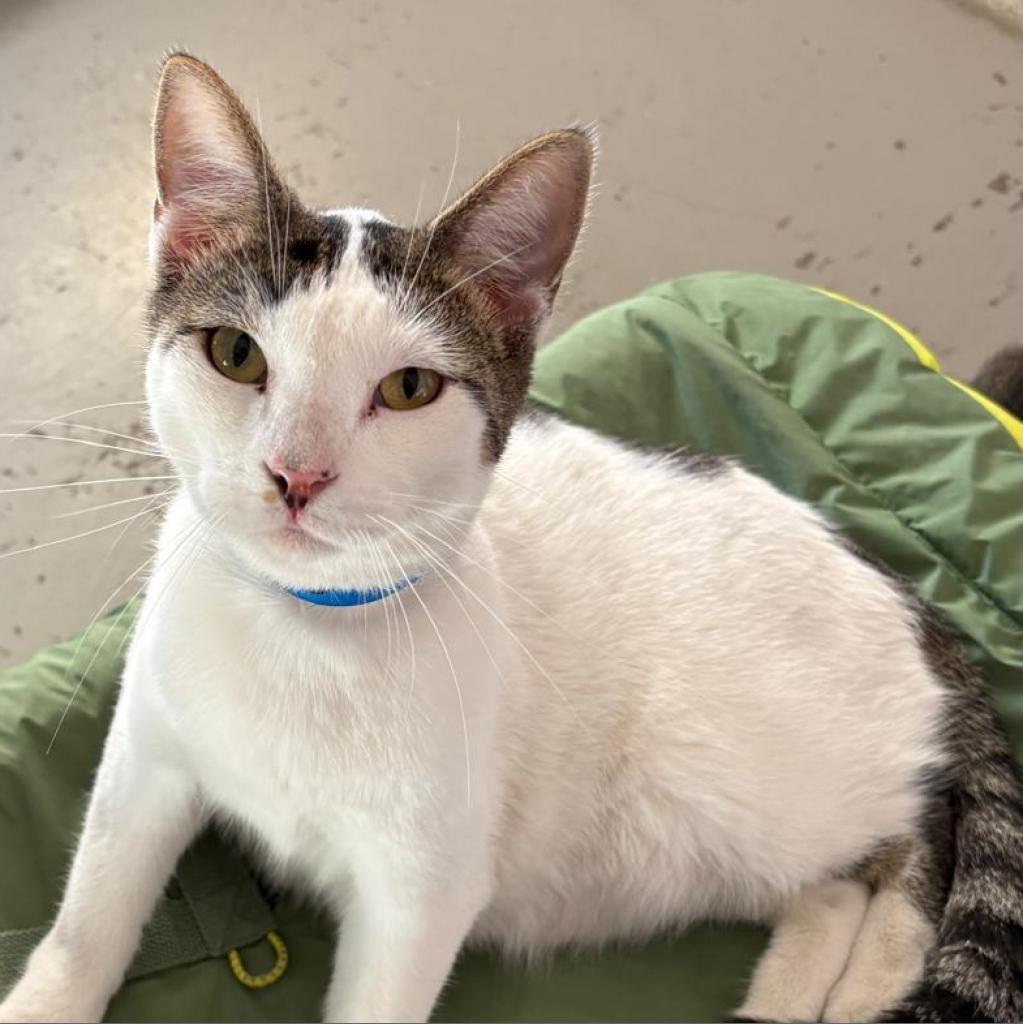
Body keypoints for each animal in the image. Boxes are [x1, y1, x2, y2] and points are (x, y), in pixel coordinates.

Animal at [2, 54, 1023, 1024]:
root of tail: (897, 587)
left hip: (760, 782)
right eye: (236, 354)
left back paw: (858, 980)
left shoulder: (420, 894)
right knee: (838, 886)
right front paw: (50, 996)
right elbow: (90, 914)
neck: (305, 631)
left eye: (409, 388)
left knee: (910, 848)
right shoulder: (144, 761)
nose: (297, 475)